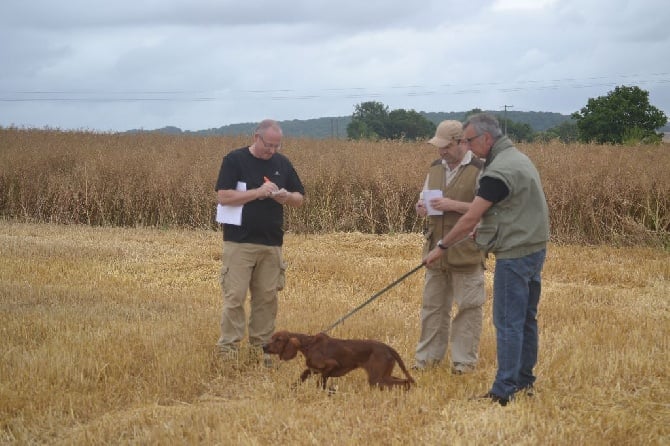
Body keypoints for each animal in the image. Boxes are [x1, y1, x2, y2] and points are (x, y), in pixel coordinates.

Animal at [264, 332, 414, 390]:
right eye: (272, 338)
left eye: (278, 340)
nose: (264, 346)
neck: (309, 344)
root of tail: (388, 348)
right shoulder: (313, 369)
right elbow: (304, 375)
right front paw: (292, 388)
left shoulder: (331, 365)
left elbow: (321, 381)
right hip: (383, 375)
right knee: (404, 381)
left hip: (376, 378)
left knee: (404, 382)